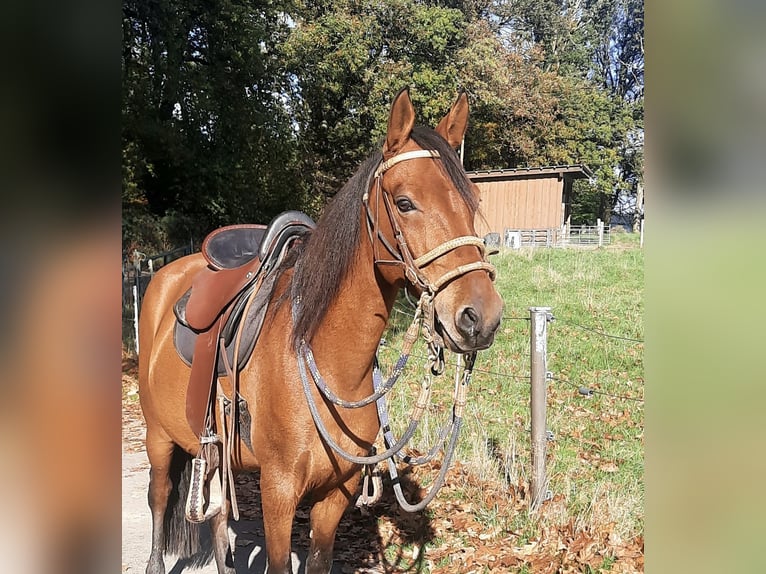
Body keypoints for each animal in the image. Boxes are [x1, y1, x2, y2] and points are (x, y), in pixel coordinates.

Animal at [140, 88, 504, 572]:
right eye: (405, 202)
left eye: (473, 203)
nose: (480, 316)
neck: (324, 357)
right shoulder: (278, 493)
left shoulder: (336, 494)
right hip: (159, 438)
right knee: (160, 500)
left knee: (218, 520)